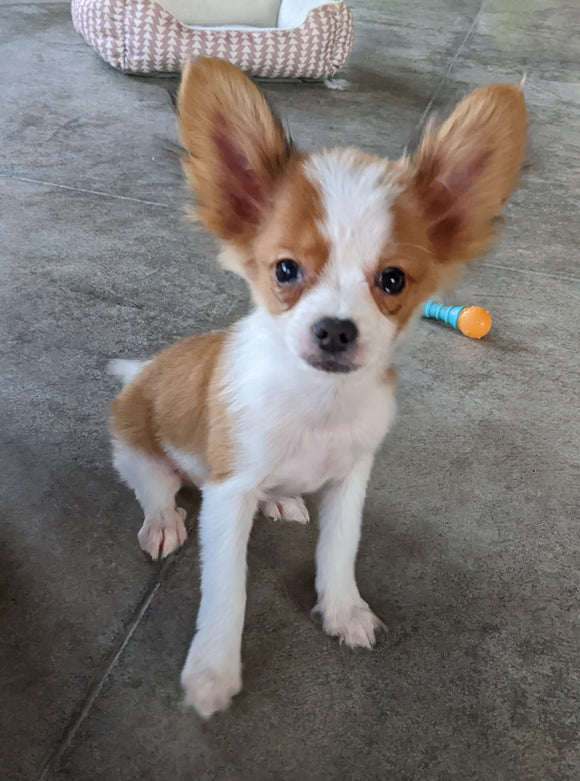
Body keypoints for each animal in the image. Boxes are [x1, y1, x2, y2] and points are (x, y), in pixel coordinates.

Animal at [106, 58, 528, 720]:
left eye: (392, 280)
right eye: (286, 270)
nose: (335, 328)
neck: (317, 404)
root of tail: (141, 375)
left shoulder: (352, 478)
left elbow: (339, 550)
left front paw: (343, 608)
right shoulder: (229, 493)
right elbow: (227, 589)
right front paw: (212, 670)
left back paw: (280, 500)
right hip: (135, 446)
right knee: (153, 487)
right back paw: (165, 520)